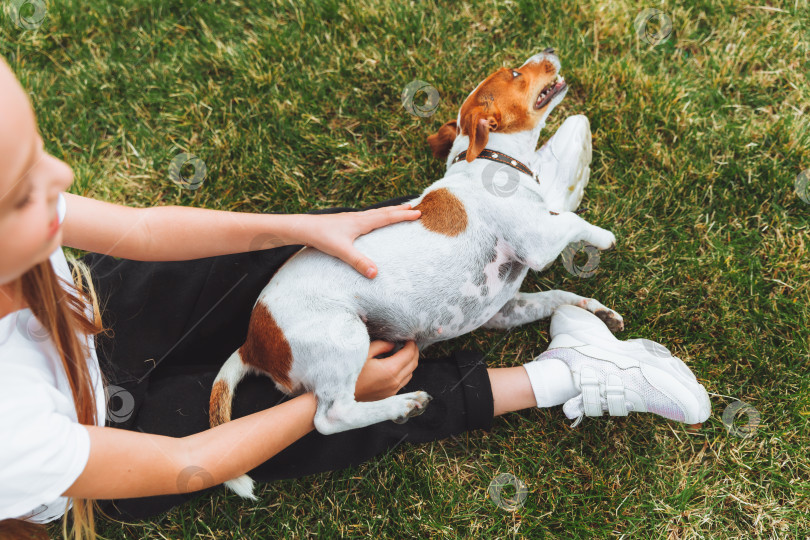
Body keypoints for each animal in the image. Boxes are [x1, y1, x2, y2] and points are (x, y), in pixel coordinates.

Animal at [207, 48, 620, 500]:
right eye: (515, 72)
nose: (550, 51)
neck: (493, 162)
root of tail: (254, 341)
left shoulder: (503, 311)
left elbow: (556, 297)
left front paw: (595, 311)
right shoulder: (538, 243)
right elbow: (571, 220)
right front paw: (603, 237)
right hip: (345, 337)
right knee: (329, 417)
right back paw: (402, 404)